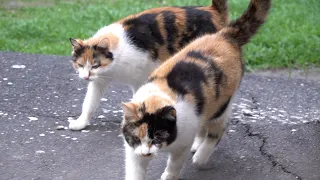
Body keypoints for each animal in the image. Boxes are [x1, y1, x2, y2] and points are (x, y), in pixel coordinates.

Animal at [121, 0, 272, 179]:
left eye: (158, 136)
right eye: (137, 137)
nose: (146, 153)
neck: (158, 94)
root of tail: (225, 36)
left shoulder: (182, 144)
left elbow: (174, 164)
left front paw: (169, 175)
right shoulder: (133, 151)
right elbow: (135, 169)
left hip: (221, 104)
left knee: (218, 129)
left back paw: (201, 156)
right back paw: (198, 145)